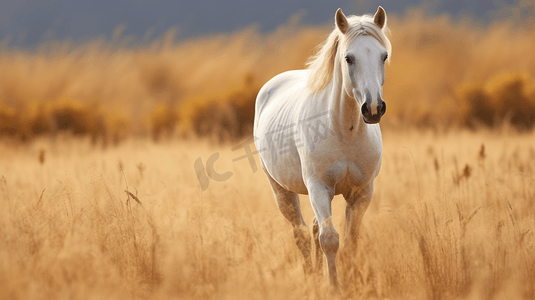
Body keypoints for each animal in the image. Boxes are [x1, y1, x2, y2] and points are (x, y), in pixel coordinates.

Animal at [253, 7, 392, 288]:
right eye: (349, 58)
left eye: (383, 56)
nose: (373, 109)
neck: (345, 131)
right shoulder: (319, 188)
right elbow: (329, 240)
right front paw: (334, 287)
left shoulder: (362, 193)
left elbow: (351, 241)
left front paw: (351, 283)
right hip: (282, 191)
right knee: (302, 234)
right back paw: (310, 278)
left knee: (315, 228)